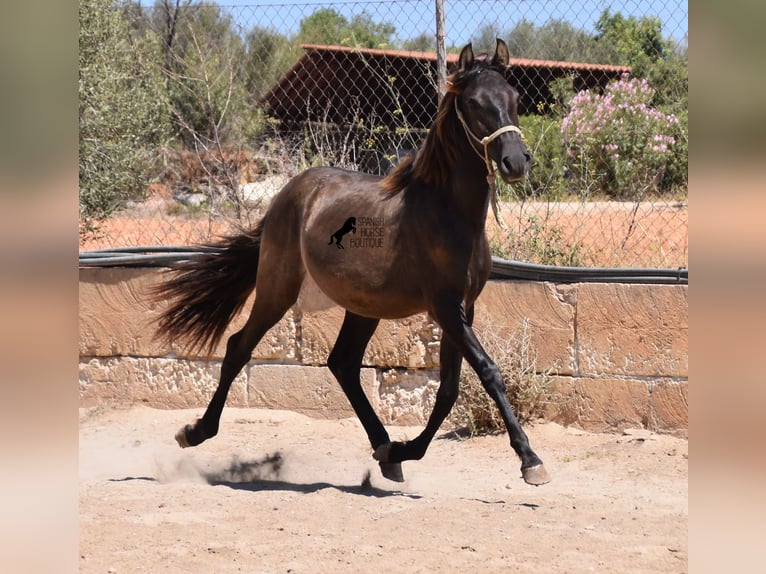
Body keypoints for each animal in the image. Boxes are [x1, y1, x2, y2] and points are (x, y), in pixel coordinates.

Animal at [154, 40, 552, 488]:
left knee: (342, 363)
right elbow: (487, 372)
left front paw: (403, 450)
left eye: (514, 98)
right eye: (473, 102)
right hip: (278, 287)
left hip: (364, 305)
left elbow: (448, 389)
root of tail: (288, 192)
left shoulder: (463, 306)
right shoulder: (444, 307)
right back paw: (195, 431)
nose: (516, 161)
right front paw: (530, 460)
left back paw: (385, 450)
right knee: (240, 346)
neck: (446, 213)